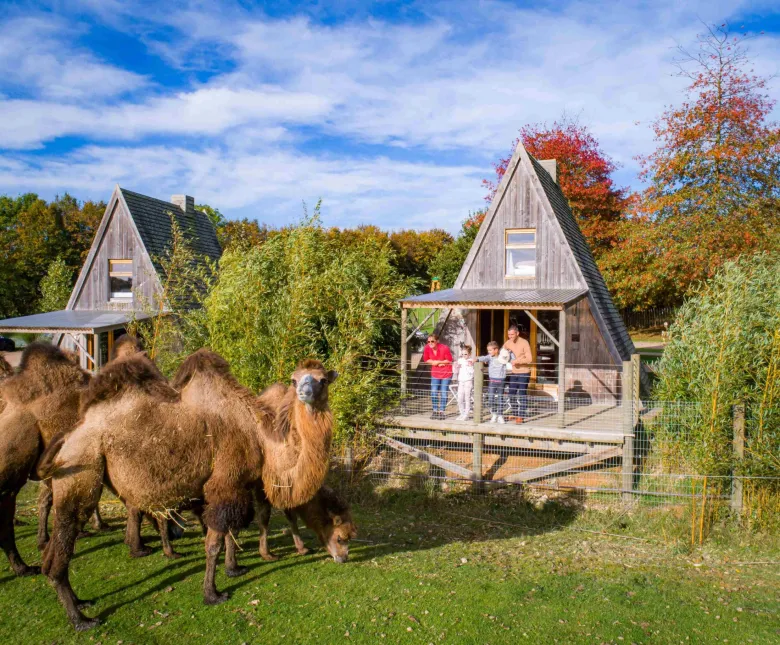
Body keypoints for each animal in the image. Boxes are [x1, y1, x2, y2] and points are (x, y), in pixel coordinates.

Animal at [40, 348, 336, 628]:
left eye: (322, 380)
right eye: (294, 379)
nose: (305, 392)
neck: (258, 437)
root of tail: (67, 437)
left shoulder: (234, 487)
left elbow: (230, 532)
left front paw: (234, 569)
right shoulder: (225, 481)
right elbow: (214, 543)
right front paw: (212, 593)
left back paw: (80, 601)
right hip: (83, 465)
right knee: (64, 540)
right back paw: (80, 619)